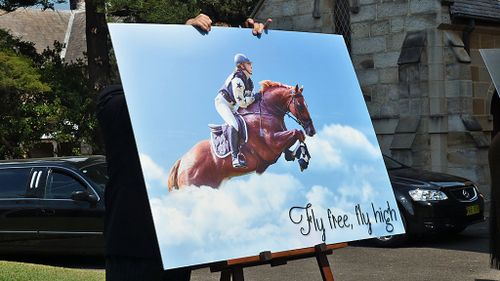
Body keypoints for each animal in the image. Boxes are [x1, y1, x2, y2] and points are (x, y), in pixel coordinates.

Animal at [168, 81, 316, 190]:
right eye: (300, 105)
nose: (312, 130)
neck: (268, 111)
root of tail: (181, 161)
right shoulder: (271, 146)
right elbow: (297, 133)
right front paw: (303, 159)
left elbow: (297, 139)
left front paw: (298, 156)